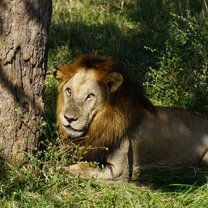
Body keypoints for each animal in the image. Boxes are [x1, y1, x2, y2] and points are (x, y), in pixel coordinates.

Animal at [55, 53, 208, 182]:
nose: (69, 118)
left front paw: (55, 170)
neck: (97, 124)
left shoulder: (118, 169)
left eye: (90, 96)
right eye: (69, 91)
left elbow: (82, 167)